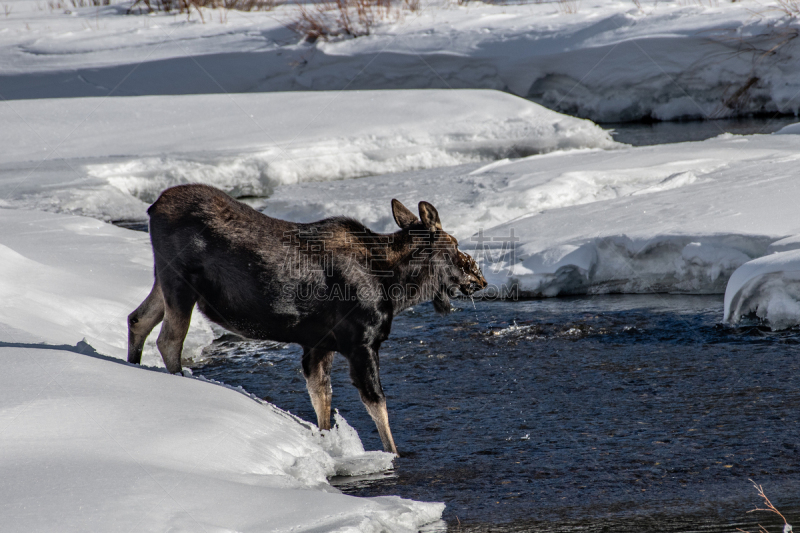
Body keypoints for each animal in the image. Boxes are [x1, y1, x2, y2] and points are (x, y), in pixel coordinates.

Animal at [127, 184, 488, 454]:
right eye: (455, 245)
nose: (480, 279)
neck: (397, 287)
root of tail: (152, 207)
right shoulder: (361, 342)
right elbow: (377, 405)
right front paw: (394, 456)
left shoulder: (319, 344)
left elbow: (322, 401)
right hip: (179, 282)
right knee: (168, 339)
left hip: (164, 281)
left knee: (137, 319)